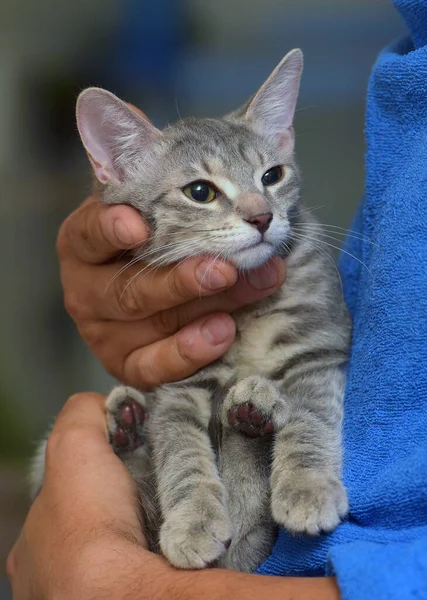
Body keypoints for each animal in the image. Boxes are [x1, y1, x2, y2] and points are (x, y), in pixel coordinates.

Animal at [30, 48, 352, 572]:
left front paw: (308, 487)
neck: (248, 315)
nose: (262, 216)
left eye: (272, 176)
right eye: (200, 192)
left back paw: (248, 411)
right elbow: (182, 455)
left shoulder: (321, 349)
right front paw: (193, 521)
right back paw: (131, 425)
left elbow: (311, 416)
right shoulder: (179, 385)